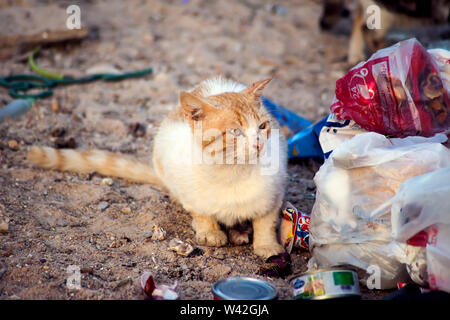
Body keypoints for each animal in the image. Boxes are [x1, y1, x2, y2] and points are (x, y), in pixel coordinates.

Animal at [29, 76, 288, 258]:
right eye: (235, 131)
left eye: (263, 126)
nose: (259, 143)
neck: (232, 172)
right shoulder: (184, 183)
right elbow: (201, 211)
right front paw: (209, 231)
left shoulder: (275, 191)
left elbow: (266, 222)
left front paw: (267, 245)